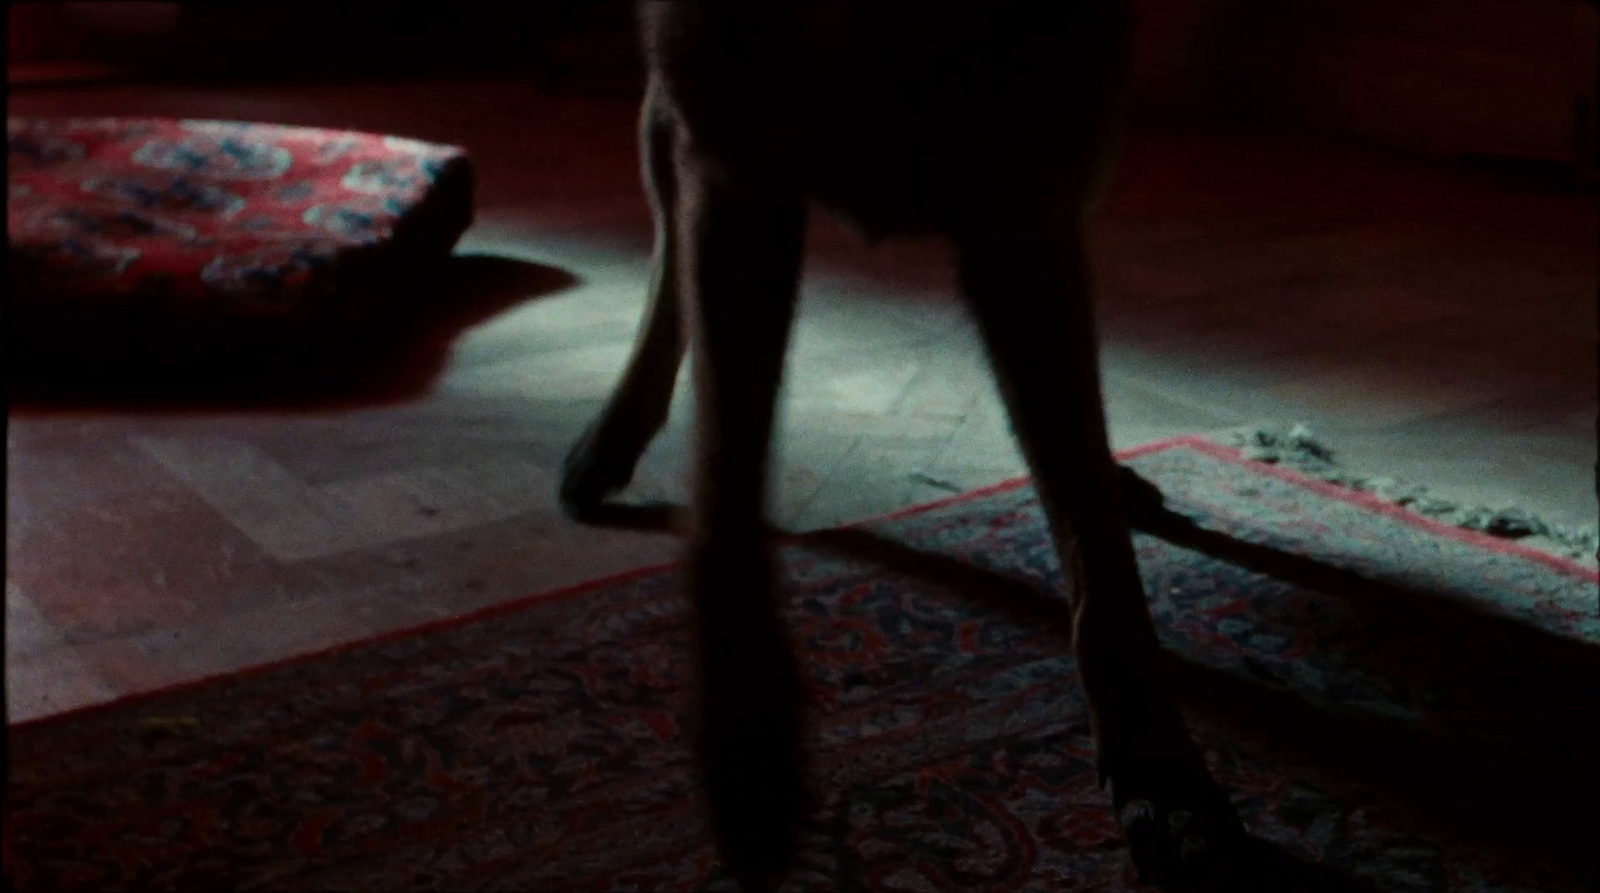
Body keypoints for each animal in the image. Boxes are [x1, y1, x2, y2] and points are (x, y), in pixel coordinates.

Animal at [563, 3, 1248, 889]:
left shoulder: (1027, 186)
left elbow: (1093, 531)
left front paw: (1160, 770)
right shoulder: (738, 148)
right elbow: (725, 485)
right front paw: (748, 740)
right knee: (667, 257)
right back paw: (609, 440)